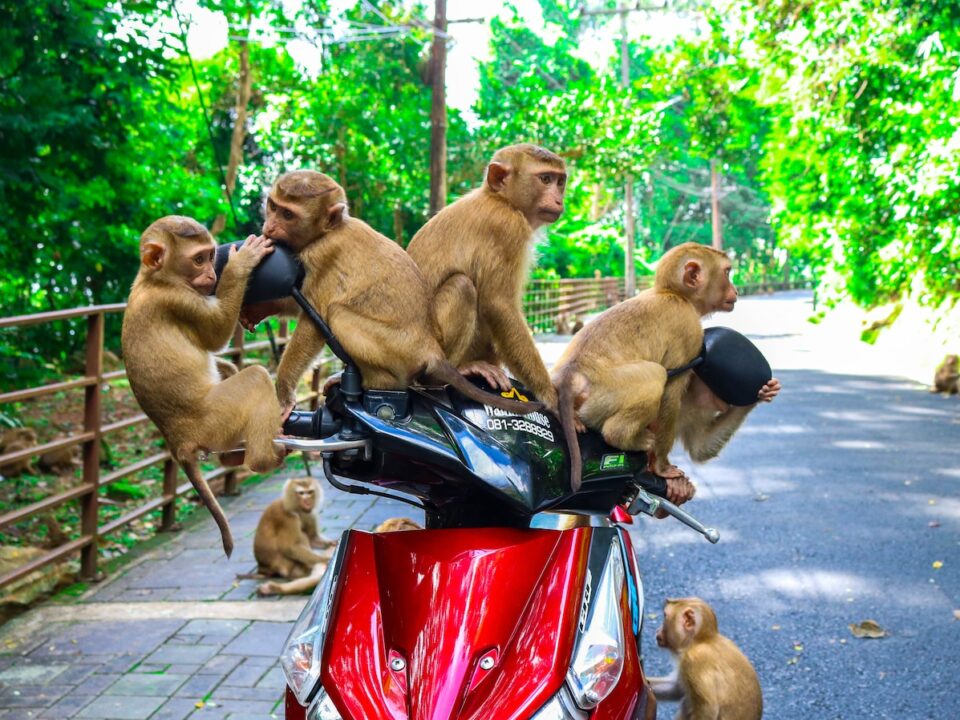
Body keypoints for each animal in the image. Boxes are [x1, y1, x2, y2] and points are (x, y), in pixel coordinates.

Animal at [121, 216, 282, 558]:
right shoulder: (180, 300)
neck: (153, 279)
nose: (211, 274)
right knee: (256, 377)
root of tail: (179, 440)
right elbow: (216, 333)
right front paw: (241, 263)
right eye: (198, 259)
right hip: (216, 418)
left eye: (210, 256)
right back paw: (263, 459)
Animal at [243, 170, 539, 419]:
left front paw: (282, 396)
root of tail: (432, 350)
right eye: (273, 206)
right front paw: (260, 309)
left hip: (399, 352)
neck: (328, 231)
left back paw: (376, 383)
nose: (269, 227)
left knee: (338, 314)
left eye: (288, 215)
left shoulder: (321, 255)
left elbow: (312, 322)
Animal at [406, 144, 567, 411]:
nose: (558, 199)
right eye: (545, 179)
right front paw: (550, 395)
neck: (500, 199)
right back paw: (451, 372)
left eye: (560, 181)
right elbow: (499, 304)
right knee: (462, 286)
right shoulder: (508, 227)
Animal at [552, 242, 738, 491]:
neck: (674, 294)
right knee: (655, 376)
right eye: (727, 272)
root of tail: (570, 375)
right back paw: (622, 437)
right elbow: (670, 393)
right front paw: (661, 467)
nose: (735, 290)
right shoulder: (689, 330)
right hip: (602, 396)